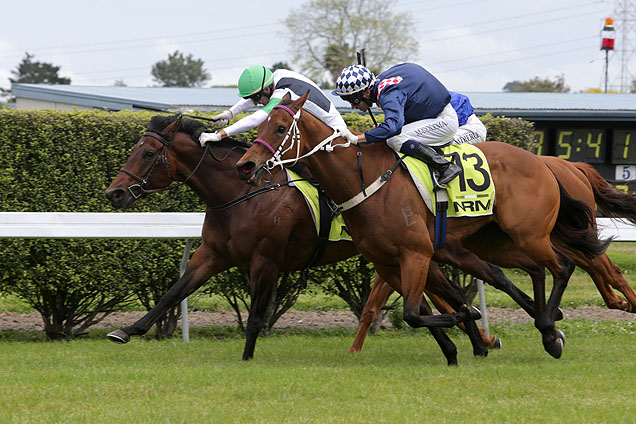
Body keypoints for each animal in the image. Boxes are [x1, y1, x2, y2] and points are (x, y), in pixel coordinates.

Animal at [104, 113, 520, 362]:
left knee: (485, 279)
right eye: (135, 149)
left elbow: (256, 316)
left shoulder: (266, 260)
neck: (240, 194)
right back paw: (477, 341)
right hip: (414, 254)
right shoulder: (212, 254)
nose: (115, 193)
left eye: (149, 153)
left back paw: (486, 337)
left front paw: (247, 358)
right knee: (446, 295)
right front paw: (125, 331)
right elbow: (173, 293)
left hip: (440, 249)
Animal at [235, 93, 608, 362]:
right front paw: (463, 336)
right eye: (261, 125)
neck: (365, 179)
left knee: (563, 266)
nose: (246, 165)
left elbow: (416, 313)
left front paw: (469, 324)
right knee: (532, 270)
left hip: (528, 234)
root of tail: (544, 162)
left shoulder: (416, 253)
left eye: (280, 128)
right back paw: (548, 327)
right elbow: (423, 309)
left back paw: (548, 328)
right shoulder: (388, 262)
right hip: (494, 241)